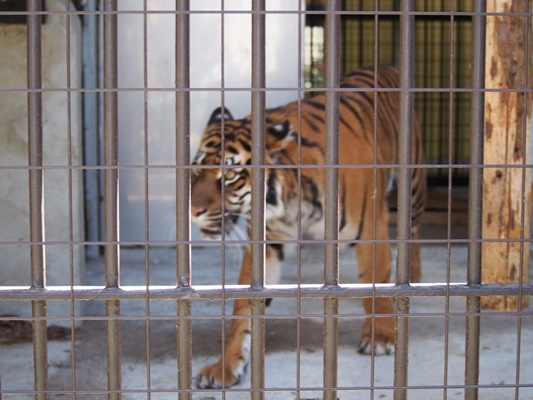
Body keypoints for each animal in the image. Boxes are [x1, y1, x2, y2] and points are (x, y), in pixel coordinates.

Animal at [189, 65, 426, 388]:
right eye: (196, 169)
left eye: (229, 176)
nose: (193, 211)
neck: (288, 199)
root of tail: (387, 66)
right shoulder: (267, 242)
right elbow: (243, 307)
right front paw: (224, 367)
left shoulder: (370, 231)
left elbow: (374, 282)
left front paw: (380, 337)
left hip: (412, 187)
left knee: (413, 234)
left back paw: (411, 279)